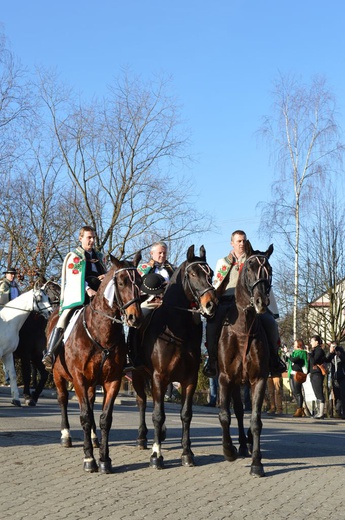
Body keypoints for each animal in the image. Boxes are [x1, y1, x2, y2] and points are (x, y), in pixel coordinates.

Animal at [47, 254, 142, 474]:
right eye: (122, 282)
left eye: (140, 282)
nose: (134, 317)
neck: (101, 332)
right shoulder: (79, 379)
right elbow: (84, 416)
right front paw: (89, 458)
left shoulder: (112, 380)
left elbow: (104, 419)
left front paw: (105, 459)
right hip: (59, 376)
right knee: (63, 400)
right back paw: (66, 436)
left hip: (91, 384)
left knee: (90, 405)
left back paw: (94, 439)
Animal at [130, 246, 216, 470]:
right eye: (193, 273)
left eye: (211, 273)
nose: (211, 304)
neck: (178, 328)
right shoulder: (159, 377)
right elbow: (158, 415)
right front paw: (156, 455)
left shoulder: (189, 379)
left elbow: (186, 414)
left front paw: (187, 453)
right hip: (138, 375)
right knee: (142, 402)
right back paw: (142, 438)